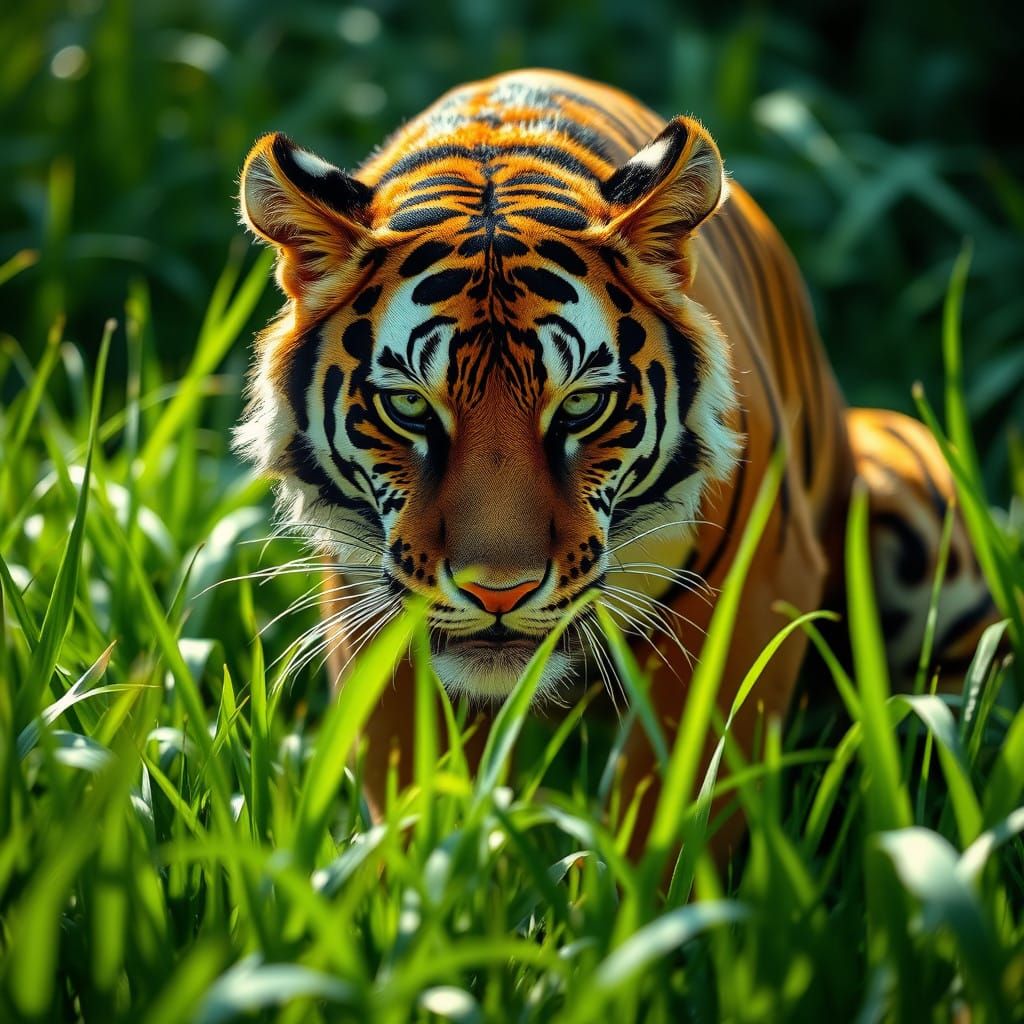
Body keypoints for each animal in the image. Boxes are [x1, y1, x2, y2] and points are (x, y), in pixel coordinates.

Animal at [237, 69, 998, 854]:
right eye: (411, 408)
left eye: (580, 406)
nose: (499, 594)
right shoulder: (371, 607)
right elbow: (412, 805)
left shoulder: (748, 593)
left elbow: (674, 808)